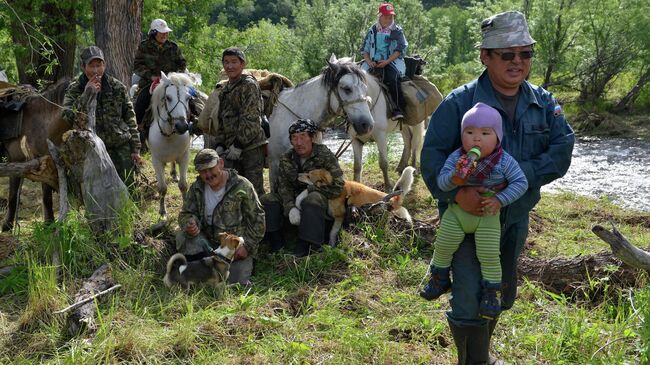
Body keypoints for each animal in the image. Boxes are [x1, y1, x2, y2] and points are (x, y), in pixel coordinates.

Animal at [0, 79, 70, 230]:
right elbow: (13, 195)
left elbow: (46, 197)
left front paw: (49, 223)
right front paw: (7, 225)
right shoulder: (16, 161)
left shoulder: (48, 165)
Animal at [149, 72, 192, 216]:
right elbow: (162, 188)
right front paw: (162, 210)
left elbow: (183, 185)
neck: (169, 135)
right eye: (168, 98)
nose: (182, 126)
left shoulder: (184, 157)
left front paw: (185, 207)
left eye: (188, 98)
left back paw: (174, 173)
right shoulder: (156, 161)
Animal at [266, 55, 422, 189]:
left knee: (415, 142)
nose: (367, 125)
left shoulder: (379, 134)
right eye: (347, 89)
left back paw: (413, 167)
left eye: (365, 88)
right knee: (409, 139)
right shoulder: (274, 164)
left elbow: (382, 162)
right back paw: (402, 166)